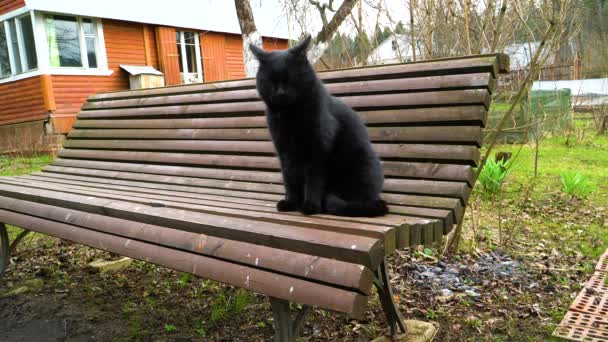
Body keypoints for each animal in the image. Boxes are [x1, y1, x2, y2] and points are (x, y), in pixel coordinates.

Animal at [251, 34, 388, 216]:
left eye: (290, 78)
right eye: (270, 81)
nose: (280, 92)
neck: (290, 115)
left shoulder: (317, 150)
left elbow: (313, 180)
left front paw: (310, 205)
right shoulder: (285, 152)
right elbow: (289, 179)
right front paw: (290, 202)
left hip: (362, 163)